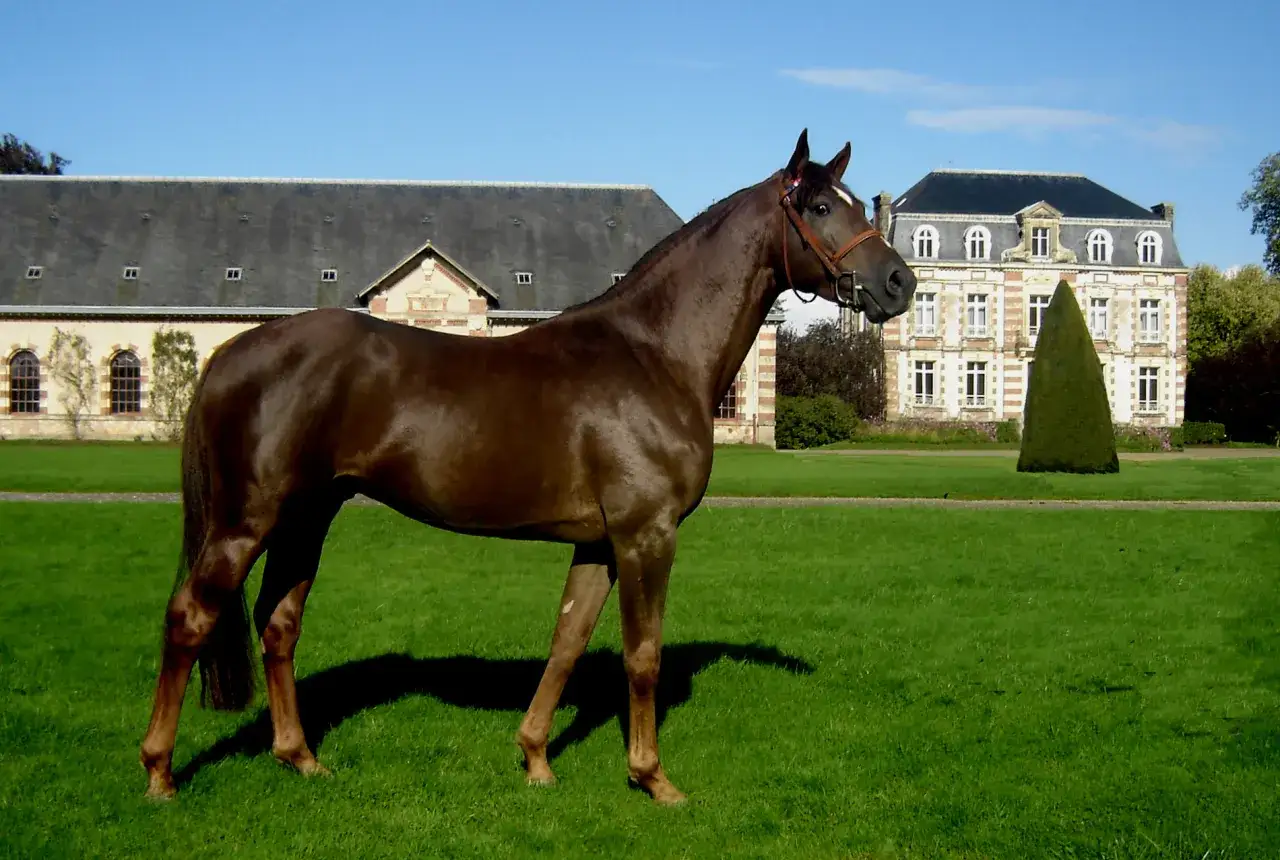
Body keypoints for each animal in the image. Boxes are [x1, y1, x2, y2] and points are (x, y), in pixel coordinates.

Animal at [138, 128, 917, 806]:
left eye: (855, 202)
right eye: (819, 207)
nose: (900, 283)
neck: (653, 353)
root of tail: (231, 353)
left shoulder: (598, 543)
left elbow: (567, 641)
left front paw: (537, 758)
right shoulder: (646, 536)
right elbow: (642, 656)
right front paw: (652, 779)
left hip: (307, 518)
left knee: (279, 623)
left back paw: (300, 757)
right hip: (246, 522)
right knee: (190, 618)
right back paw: (160, 773)